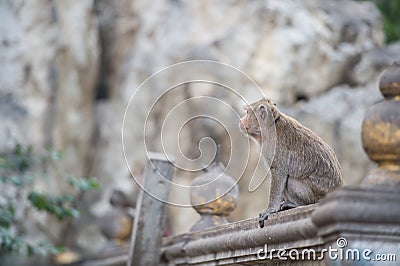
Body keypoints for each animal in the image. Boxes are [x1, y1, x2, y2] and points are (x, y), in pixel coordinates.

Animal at [239, 98, 342, 228]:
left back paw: (298, 204)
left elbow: (279, 173)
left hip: (315, 194)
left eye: (247, 112)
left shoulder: (272, 146)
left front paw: (271, 209)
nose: (241, 120)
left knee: (291, 180)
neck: (271, 126)